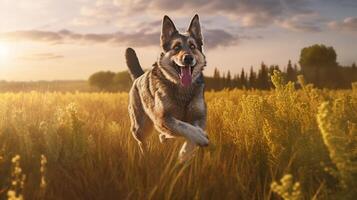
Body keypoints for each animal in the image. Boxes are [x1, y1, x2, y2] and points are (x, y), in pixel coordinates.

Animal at [125, 14, 209, 161]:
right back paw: (146, 156)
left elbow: (190, 130)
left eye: (192, 46)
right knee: (143, 142)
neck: (182, 90)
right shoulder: (163, 117)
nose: (188, 58)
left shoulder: (199, 116)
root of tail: (138, 77)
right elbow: (183, 126)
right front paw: (199, 138)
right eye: (176, 47)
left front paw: (185, 152)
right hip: (141, 128)